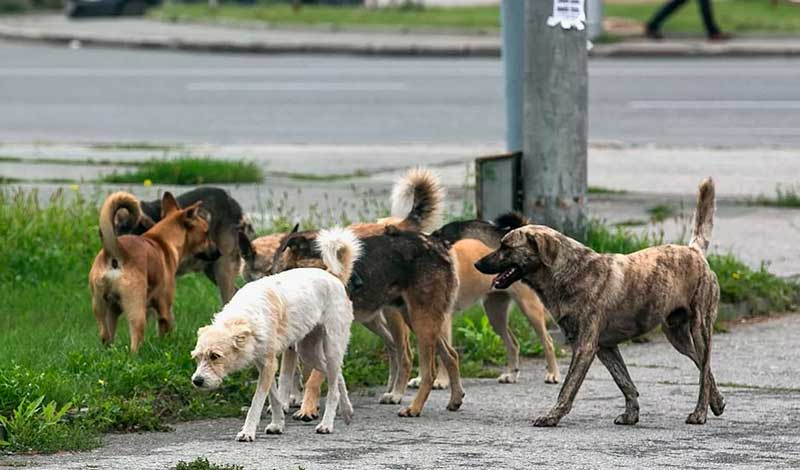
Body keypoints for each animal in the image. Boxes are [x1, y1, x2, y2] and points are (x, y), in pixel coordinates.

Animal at [90, 192, 216, 352]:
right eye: (206, 233)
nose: (218, 252)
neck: (163, 241)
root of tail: (115, 251)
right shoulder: (164, 309)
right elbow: (166, 331)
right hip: (136, 310)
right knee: (135, 338)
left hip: (102, 309)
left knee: (106, 336)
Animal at [476, 178, 724, 428]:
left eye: (506, 247)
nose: (477, 263)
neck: (569, 272)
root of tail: (694, 251)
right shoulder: (605, 347)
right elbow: (624, 382)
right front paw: (631, 414)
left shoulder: (584, 347)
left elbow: (567, 388)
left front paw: (552, 416)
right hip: (677, 336)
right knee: (704, 367)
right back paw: (717, 401)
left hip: (700, 329)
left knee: (704, 370)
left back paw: (700, 413)